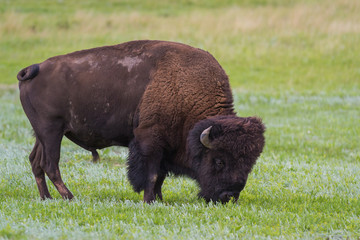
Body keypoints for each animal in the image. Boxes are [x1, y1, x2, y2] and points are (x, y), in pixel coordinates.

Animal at [17, 40, 264, 203]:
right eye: (219, 161)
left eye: (249, 164)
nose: (228, 196)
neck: (185, 90)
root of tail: (34, 69)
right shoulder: (150, 141)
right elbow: (152, 174)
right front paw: (149, 200)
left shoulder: (164, 147)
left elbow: (160, 175)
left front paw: (159, 199)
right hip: (51, 130)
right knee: (51, 164)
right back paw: (69, 197)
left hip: (43, 133)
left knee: (35, 161)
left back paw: (47, 198)